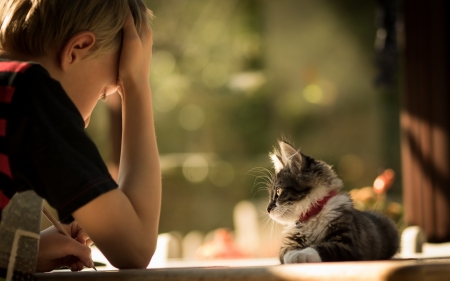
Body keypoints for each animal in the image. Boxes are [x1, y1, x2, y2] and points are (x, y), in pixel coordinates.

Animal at [266, 140, 400, 262]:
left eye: (278, 191)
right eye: (271, 194)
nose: (268, 209)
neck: (312, 216)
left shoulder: (346, 244)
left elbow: (321, 248)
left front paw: (301, 254)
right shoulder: (287, 243)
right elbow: (287, 252)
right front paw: (293, 254)